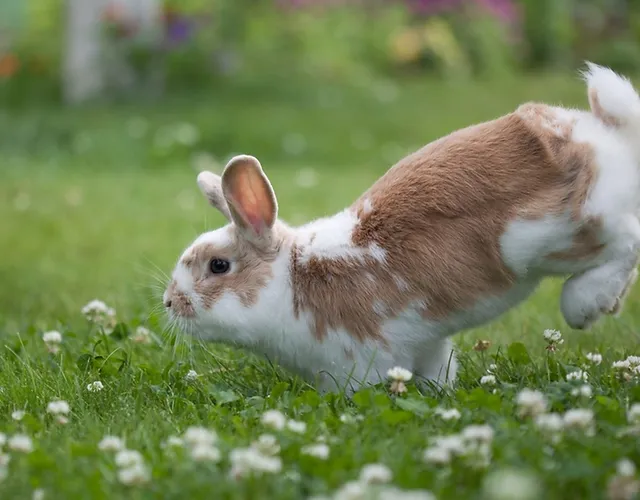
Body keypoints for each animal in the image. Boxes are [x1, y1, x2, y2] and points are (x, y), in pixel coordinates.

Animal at [164, 62, 640, 394]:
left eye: (218, 266)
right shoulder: (427, 344)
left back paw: (586, 304)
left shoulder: (361, 358)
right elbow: (436, 369)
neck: (292, 279)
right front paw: (439, 391)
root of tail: (608, 138)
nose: (170, 303)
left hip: (557, 234)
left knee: (627, 240)